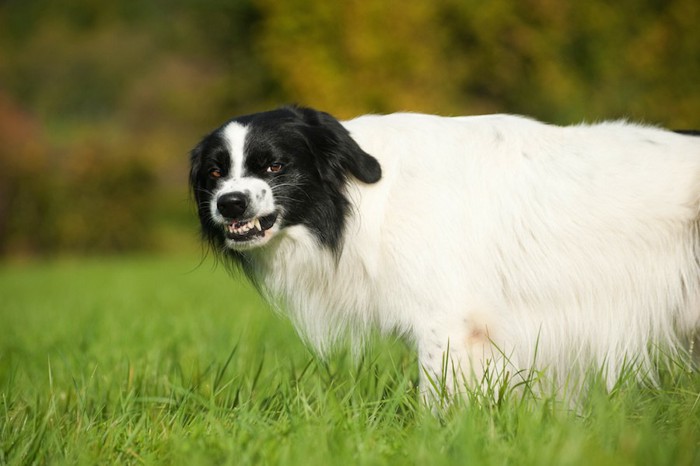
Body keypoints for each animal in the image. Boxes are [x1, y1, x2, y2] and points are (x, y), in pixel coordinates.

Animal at [191, 107, 700, 398]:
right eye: (215, 172)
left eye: (275, 166)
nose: (229, 203)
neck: (366, 197)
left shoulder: (448, 322)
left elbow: (436, 403)